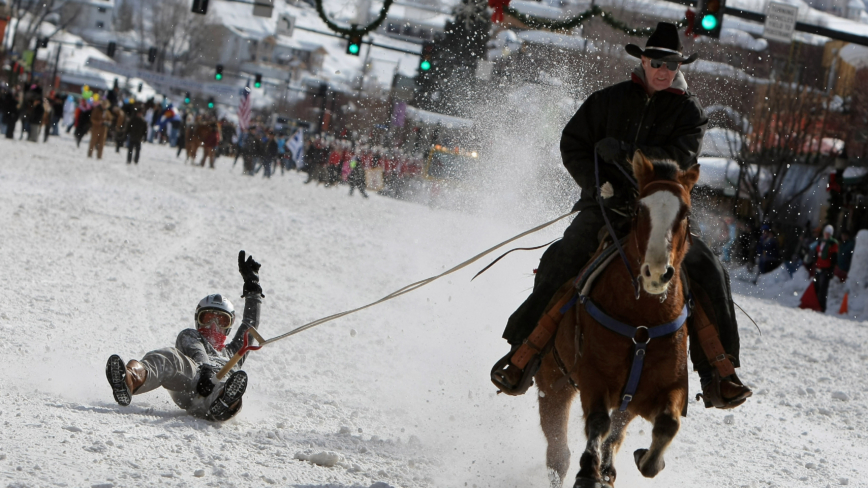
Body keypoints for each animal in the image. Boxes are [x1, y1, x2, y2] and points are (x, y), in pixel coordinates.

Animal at [536, 151, 700, 486]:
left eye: (685, 212)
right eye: (639, 209)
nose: (656, 272)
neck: (642, 321)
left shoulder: (665, 387)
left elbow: (667, 424)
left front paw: (646, 460)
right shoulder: (593, 377)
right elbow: (598, 422)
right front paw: (589, 471)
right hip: (553, 384)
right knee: (558, 453)